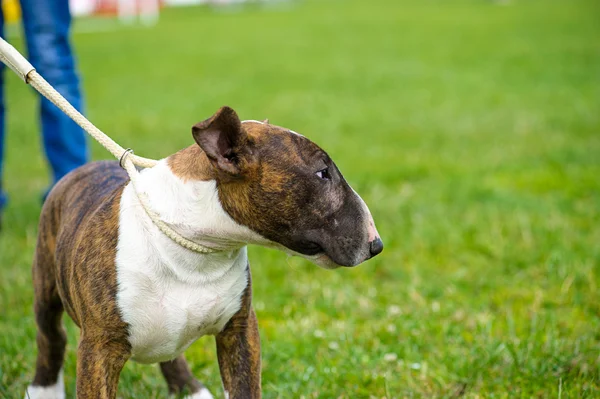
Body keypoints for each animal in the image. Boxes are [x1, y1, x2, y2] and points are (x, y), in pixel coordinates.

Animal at [25, 106, 382, 399]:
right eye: (323, 172)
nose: (376, 245)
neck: (195, 250)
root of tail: (80, 169)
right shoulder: (100, 348)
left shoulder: (239, 329)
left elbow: (244, 387)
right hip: (46, 285)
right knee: (51, 337)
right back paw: (43, 389)